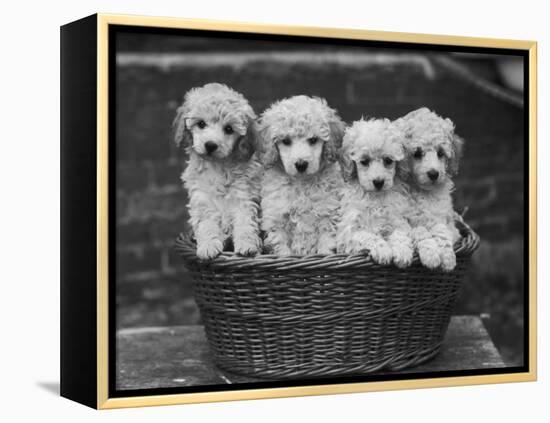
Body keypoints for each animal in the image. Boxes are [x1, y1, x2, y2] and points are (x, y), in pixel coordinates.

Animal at [176, 83, 264, 260]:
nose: (210, 145)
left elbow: (245, 222)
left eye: (229, 129)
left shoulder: (244, 197)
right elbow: (206, 224)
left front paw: (248, 245)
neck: (218, 166)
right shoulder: (202, 199)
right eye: (201, 124)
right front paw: (208, 247)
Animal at [258, 96, 344, 255]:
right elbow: (281, 247)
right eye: (286, 141)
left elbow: (326, 242)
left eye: (313, 139)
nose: (301, 164)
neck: (302, 183)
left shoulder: (327, 213)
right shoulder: (276, 218)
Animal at [336, 117, 414, 266]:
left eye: (388, 160)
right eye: (364, 161)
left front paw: (402, 252)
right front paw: (383, 250)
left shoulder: (397, 218)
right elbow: (368, 236)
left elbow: (400, 233)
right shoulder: (350, 231)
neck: (375, 198)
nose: (378, 182)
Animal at [396, 107, 466, 272]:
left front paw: (447, 257)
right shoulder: (405, 221)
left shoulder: (445, 220)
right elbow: (420, 231)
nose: (434, 174)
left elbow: (441, 231)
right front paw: (431, 255)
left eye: (441, 153)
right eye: (417, 153)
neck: (423, 192)